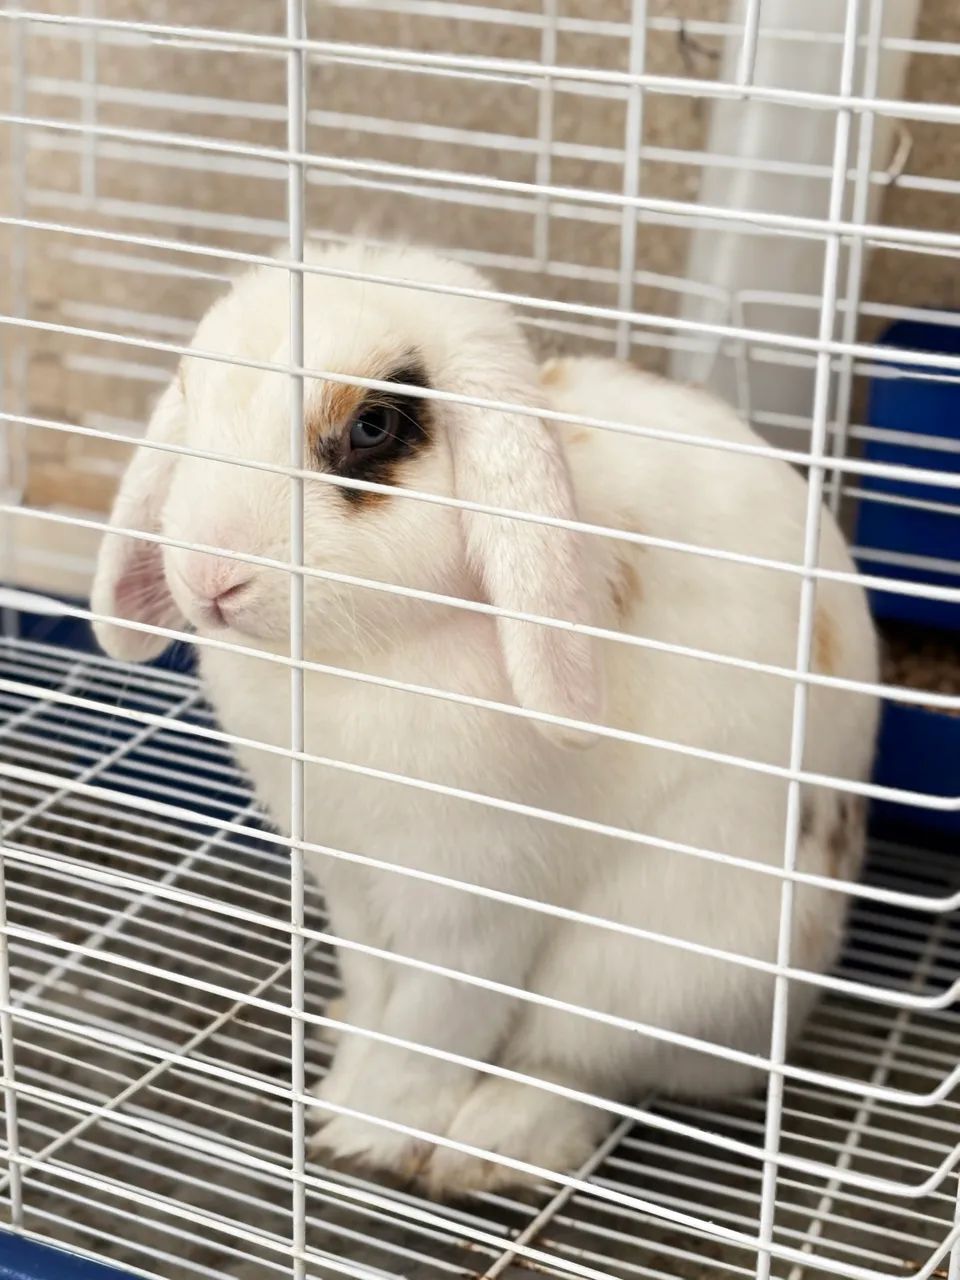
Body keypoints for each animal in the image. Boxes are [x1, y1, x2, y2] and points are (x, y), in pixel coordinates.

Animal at [90, 240, 879, 1199]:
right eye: (192, 393)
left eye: (373, 427)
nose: (210, 576)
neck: (351, 661)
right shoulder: (353, 885)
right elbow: (384, 990)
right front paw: (347, 1074)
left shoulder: (475, 909)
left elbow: (435, 1028)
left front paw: (364, 1131)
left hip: (655, 968)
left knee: (585, 1068)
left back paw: (488, 1145)